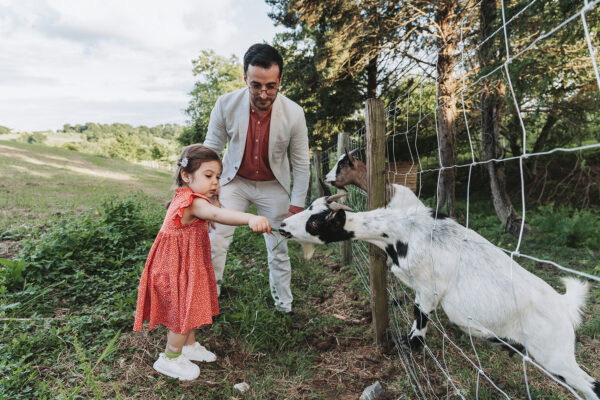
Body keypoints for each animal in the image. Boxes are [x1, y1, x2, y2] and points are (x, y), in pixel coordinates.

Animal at [278, 188, 596, 400]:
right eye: (310, 208)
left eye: (316, 223)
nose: (282, 226)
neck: (401, 231)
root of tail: (564, 305)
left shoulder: (428, 289)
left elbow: (419, 321)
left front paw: (408, 347)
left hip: (555, 355)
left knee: (591, 384)